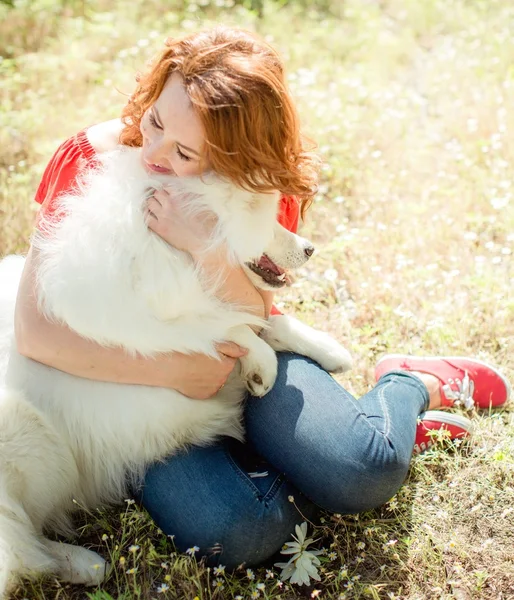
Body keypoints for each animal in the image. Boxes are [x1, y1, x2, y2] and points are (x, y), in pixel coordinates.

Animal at [0, 146, 350, 596]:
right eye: (260, 216)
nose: (309, 249)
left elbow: (267, 322)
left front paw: (330, 350)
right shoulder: (148, 345)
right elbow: (228, 330)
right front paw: (261, 370)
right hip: (28, 433)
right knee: (23, 547)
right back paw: (82, 563)